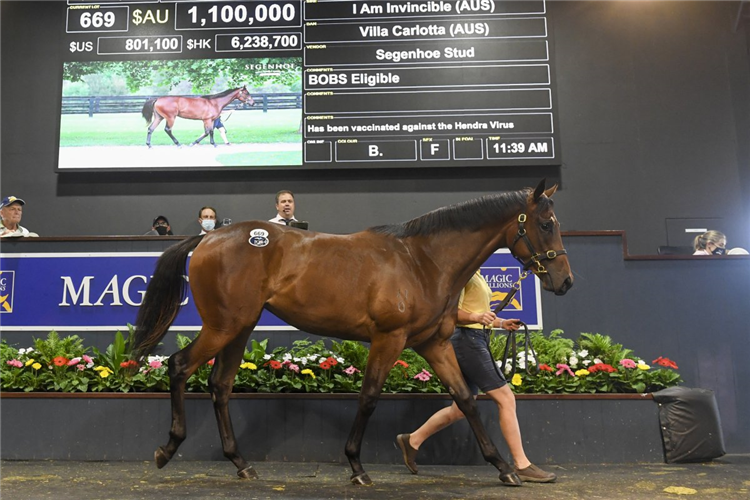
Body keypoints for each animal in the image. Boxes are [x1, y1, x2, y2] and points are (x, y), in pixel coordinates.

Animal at [132, 179, 572, 484]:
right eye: (545, 224)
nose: (564, 282)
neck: (423, 261)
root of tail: (209, 237)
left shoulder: (434, 343)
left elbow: (465, 399)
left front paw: (503, 468)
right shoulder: (389, 339)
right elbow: (370, 397)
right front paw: (357, 466)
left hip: (239, 329)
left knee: (219, 385)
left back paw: (242, 464)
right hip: (223, 326)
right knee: (178, 366)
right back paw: (167, 449)